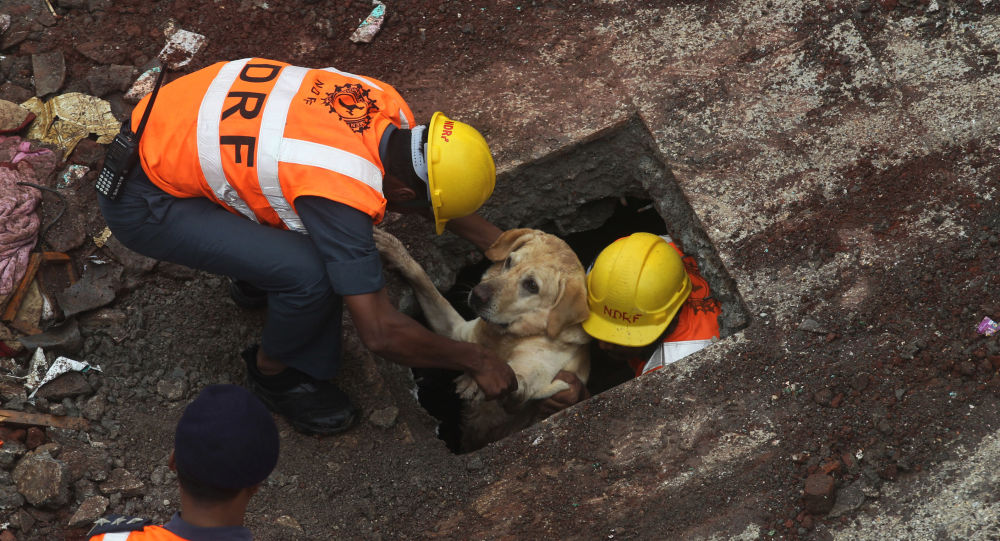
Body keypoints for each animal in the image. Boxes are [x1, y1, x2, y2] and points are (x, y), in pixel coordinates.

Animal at [376, 228, 592, 452]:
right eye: (509, 261)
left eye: (532, 285)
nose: (477, 294)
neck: (505, 337)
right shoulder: (455, 332)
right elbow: (428, 285)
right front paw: (396, 251)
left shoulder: (535, 373)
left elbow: (512, 373)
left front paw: (478, 380)